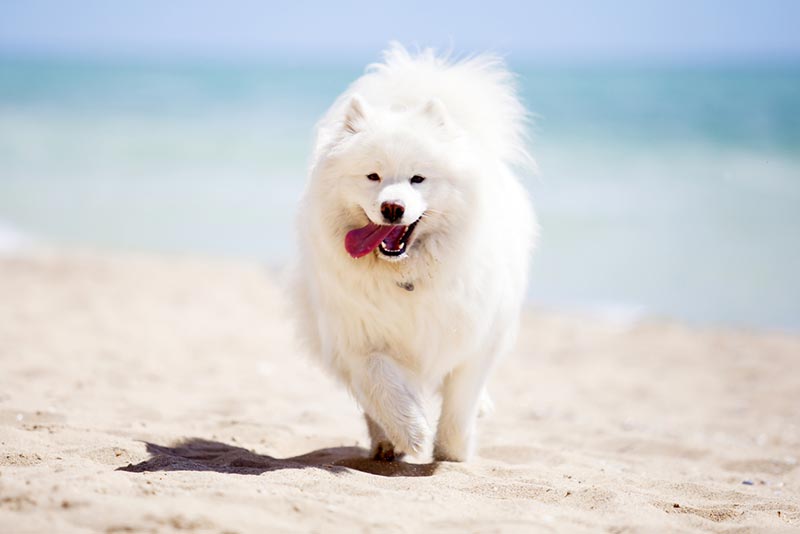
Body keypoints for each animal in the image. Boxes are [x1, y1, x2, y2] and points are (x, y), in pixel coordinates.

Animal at [294, 44, 536, 464]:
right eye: (373, 176)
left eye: (417, 178)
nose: (392, 207)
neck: (405, 273)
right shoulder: (355, 335)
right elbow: (381, 384)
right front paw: (411, 433)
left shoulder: (475, 339)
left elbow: (459, 405)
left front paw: (451, 453)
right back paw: (385, 443)